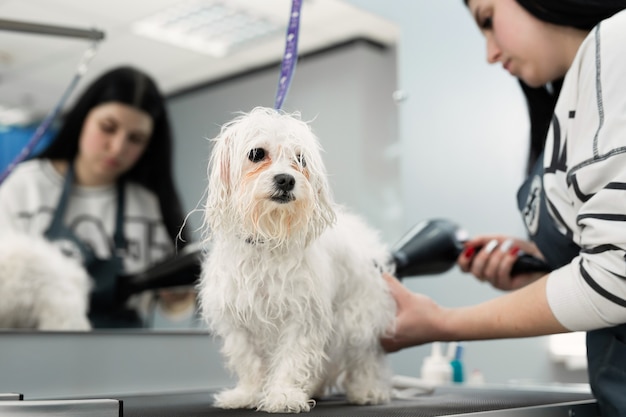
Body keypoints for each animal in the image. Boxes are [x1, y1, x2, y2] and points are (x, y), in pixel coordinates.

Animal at [199, 107, 394, 412]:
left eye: (300, 159)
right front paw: (248, 394)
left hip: (357, 318)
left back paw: (367, 390)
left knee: (364, 356)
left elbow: (292, 359)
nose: (286, 179)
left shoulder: (302, 315)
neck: (267, 239)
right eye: (256, 153)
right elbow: (249, 362)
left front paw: (283, 395)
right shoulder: (239, 322)